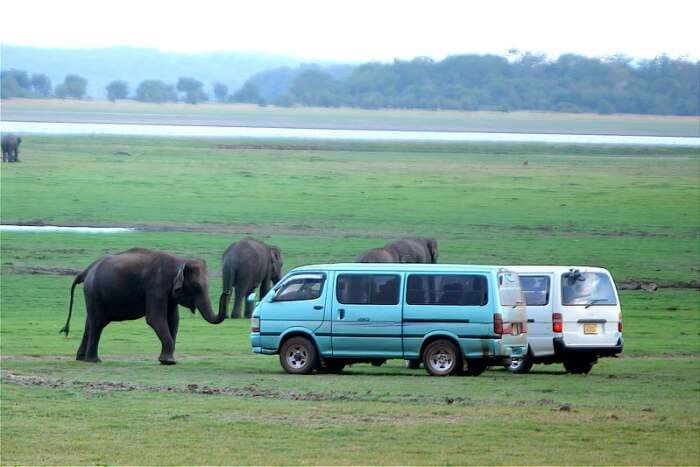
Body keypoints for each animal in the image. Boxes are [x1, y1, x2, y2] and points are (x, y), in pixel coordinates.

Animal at [59, 249, 227, 366]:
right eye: (197, 287)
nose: (227, 292)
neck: (179, 261)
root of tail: (86, 271)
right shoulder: (156, 286)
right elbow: (155, 318)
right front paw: (168, 362)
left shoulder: (168, 293)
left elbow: (173, 320)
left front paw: (166, 360)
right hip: (94, 293)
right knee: (97, 323)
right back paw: (94, 361)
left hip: (94, 295)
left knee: (90, 323)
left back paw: (81, 358)